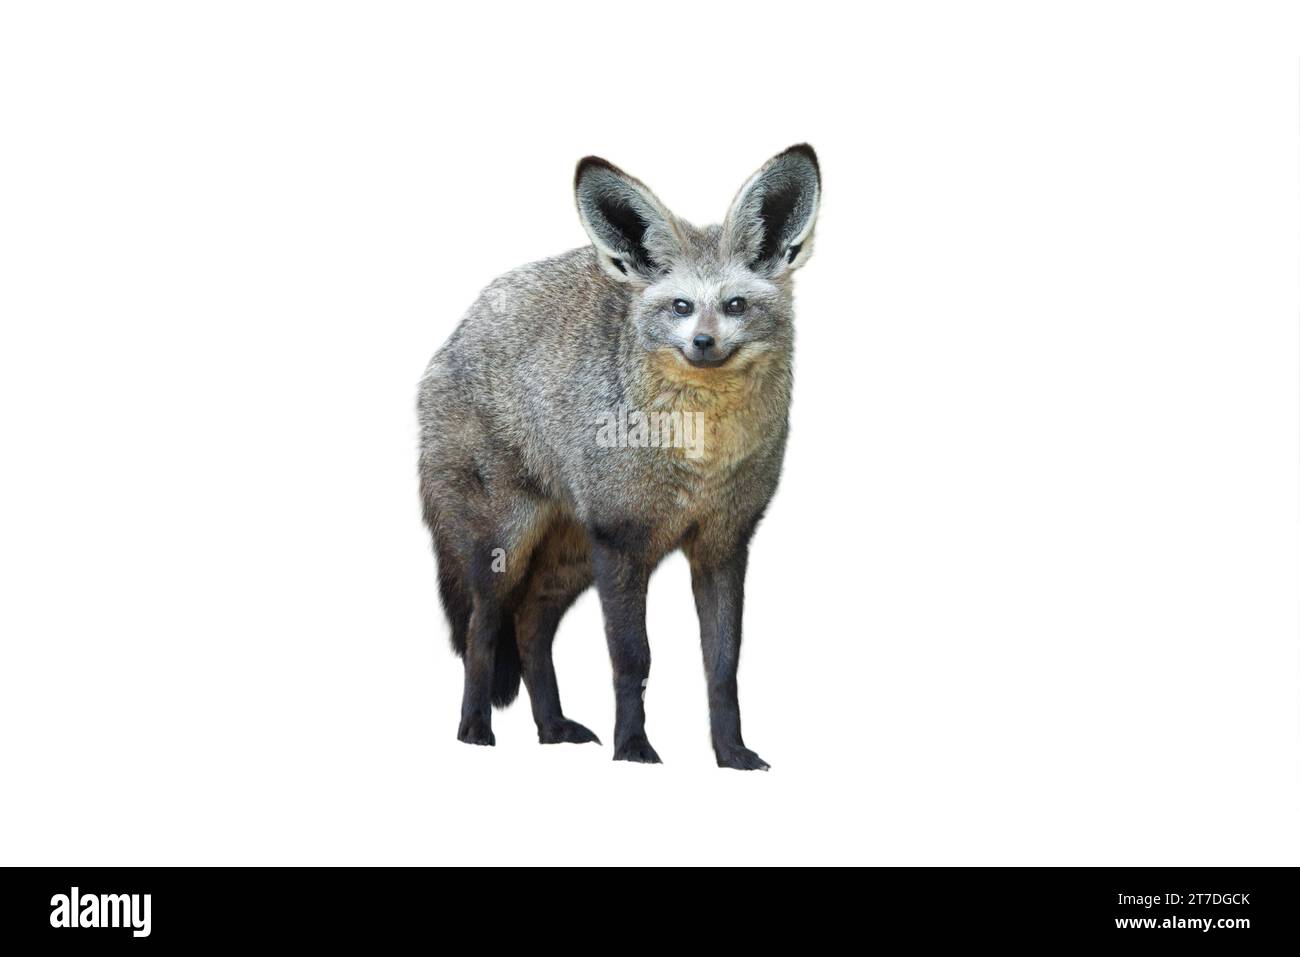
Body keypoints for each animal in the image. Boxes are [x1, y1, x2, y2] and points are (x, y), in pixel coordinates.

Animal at [417, 144, 820, 769]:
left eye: (735, 305)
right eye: (680, 306)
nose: (703, 343)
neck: (700, 458)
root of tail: (457, 334)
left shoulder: (724, 545)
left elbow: (722, 667)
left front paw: (731, 753)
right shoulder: (623, 540)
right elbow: (634, 659)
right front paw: (633, 747)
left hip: (571, 559)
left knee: (530, 627)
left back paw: (551, 728)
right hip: (506, 548)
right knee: (482, 631)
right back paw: (475, 731)